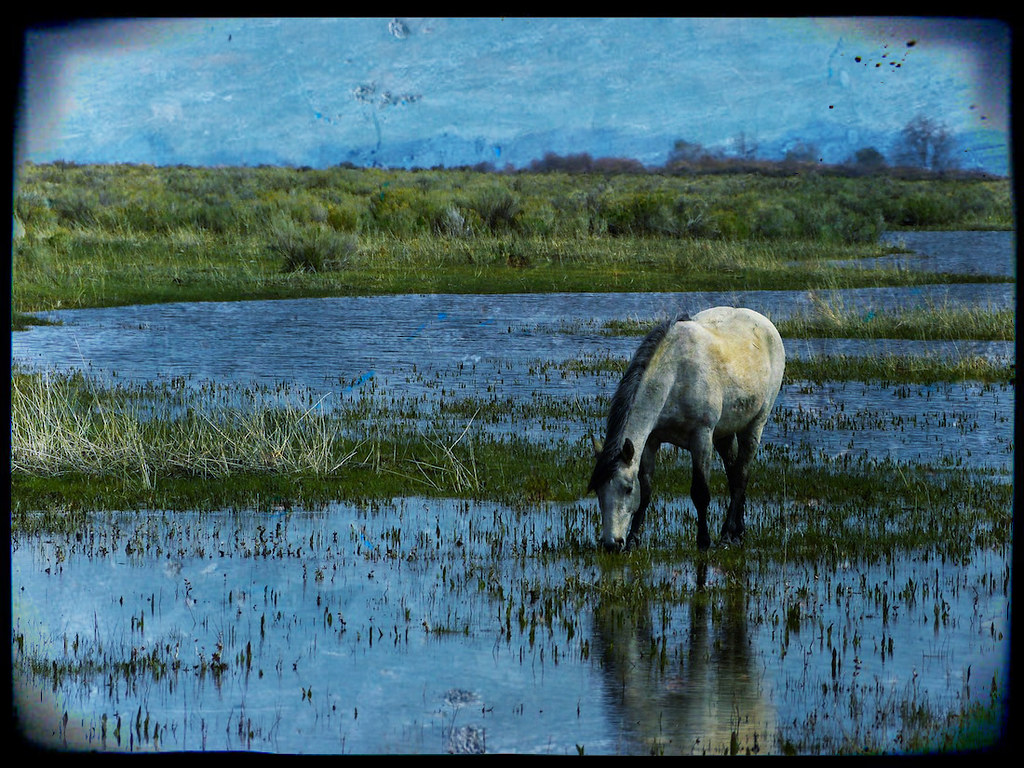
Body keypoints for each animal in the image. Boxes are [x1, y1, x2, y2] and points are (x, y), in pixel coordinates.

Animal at [588, 307, 785, 551]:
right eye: (598, 491)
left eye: (627, 488)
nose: (611, 544)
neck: (675, 376)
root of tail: (764, 323)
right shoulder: (651, 440)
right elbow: (647, 490)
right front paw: (634, 539)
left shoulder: (701, 437)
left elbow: (700, 492)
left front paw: (703, 541)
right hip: (724, 433)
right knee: (732, 473)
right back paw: (738, 531)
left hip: (754, 425)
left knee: (741, 476)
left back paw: (727, 535)